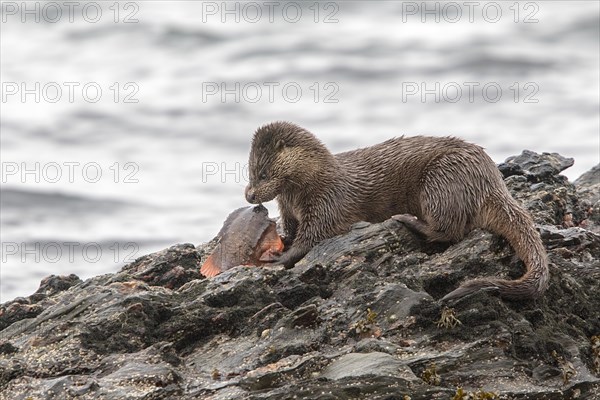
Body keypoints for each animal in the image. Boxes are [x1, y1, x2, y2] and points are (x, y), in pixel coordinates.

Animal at [244, 121, 548, 300]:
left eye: (262, 173)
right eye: (249, 172)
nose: (249, 195)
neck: (312, 182)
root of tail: (491, 179)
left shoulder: (328, 202)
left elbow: (313, 237)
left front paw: (280, 259)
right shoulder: (289, 209)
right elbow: (291, 230)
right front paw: (277, 242)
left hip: (442, 179)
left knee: (450, 230)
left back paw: (407, 220)